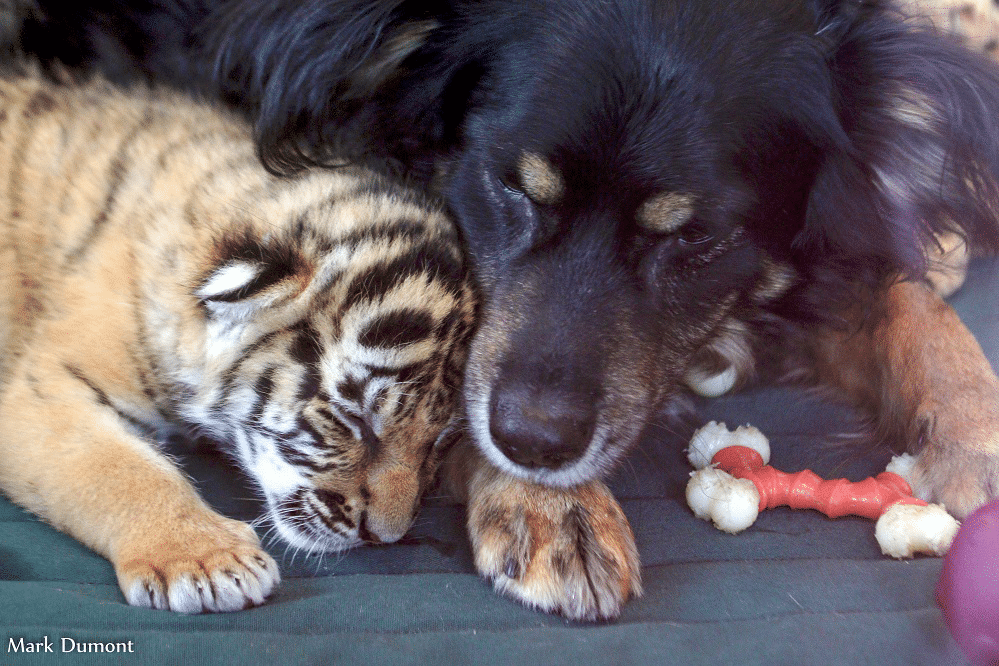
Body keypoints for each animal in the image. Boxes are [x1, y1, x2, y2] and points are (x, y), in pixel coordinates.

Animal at [11, 0, 999, 616]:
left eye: (696, 237)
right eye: (508, 185)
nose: (530, 446)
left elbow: (898, 290)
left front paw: (974, 428)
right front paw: (549, 507)